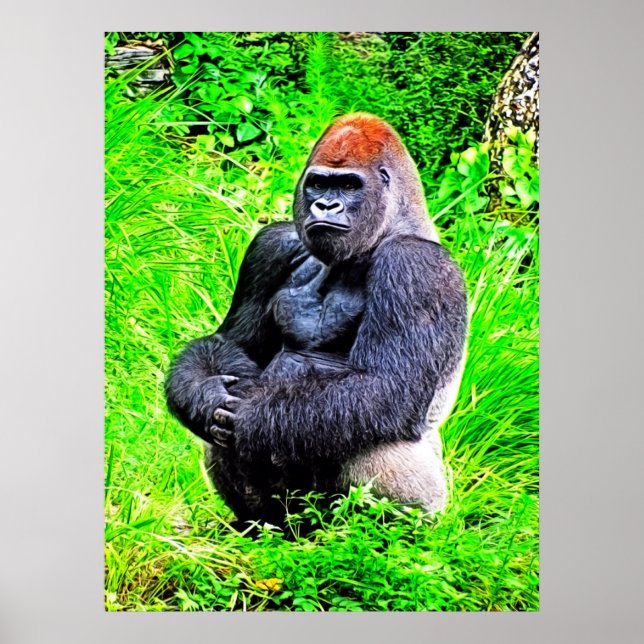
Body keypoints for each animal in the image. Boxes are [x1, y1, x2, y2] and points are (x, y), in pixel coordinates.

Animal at [166, 113, 468, 525]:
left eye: (349, 185)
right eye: (319, 184)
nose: (326, 205)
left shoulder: (415, 266)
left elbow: (386, 386)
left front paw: (249, 415)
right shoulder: (272, 244)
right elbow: (231, 346)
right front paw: (203, 395)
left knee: (377, 440)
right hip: (296, 516)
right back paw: (260, 526)